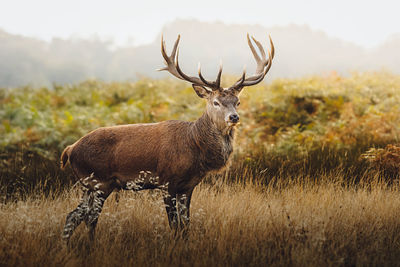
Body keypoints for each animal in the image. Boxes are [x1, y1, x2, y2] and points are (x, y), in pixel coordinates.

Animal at [61, 32, 274, 242]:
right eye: (215, 102)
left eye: (237, 102)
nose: (233, 117)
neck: (194, 148)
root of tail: (70, 149)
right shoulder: (166, 181)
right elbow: (174, 225)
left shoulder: (188, 186)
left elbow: (186, 225)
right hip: (98, 181)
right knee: (89, 218)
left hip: (92, 185)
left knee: (73, 216)